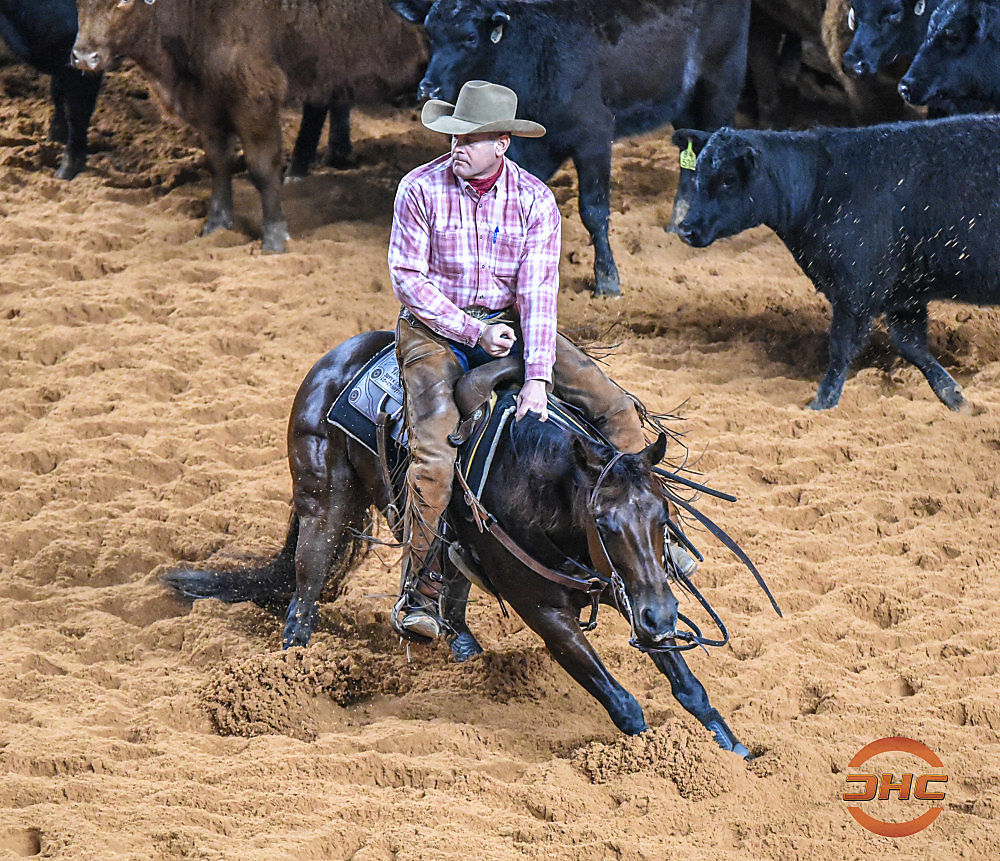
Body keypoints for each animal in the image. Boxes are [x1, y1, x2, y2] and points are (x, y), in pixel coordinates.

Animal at [164, 330, 770, 756]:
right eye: (605, 523)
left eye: (662, 515)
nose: (661, 617)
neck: (535, 483)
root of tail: (334, 359)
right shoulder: (546, 613)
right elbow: (623, 705)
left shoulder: (633, 590)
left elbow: (688, 687)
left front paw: (733, 750)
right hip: (322, 503)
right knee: (305, 590)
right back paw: (287, 674)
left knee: (446, 584)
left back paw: (459, 646)